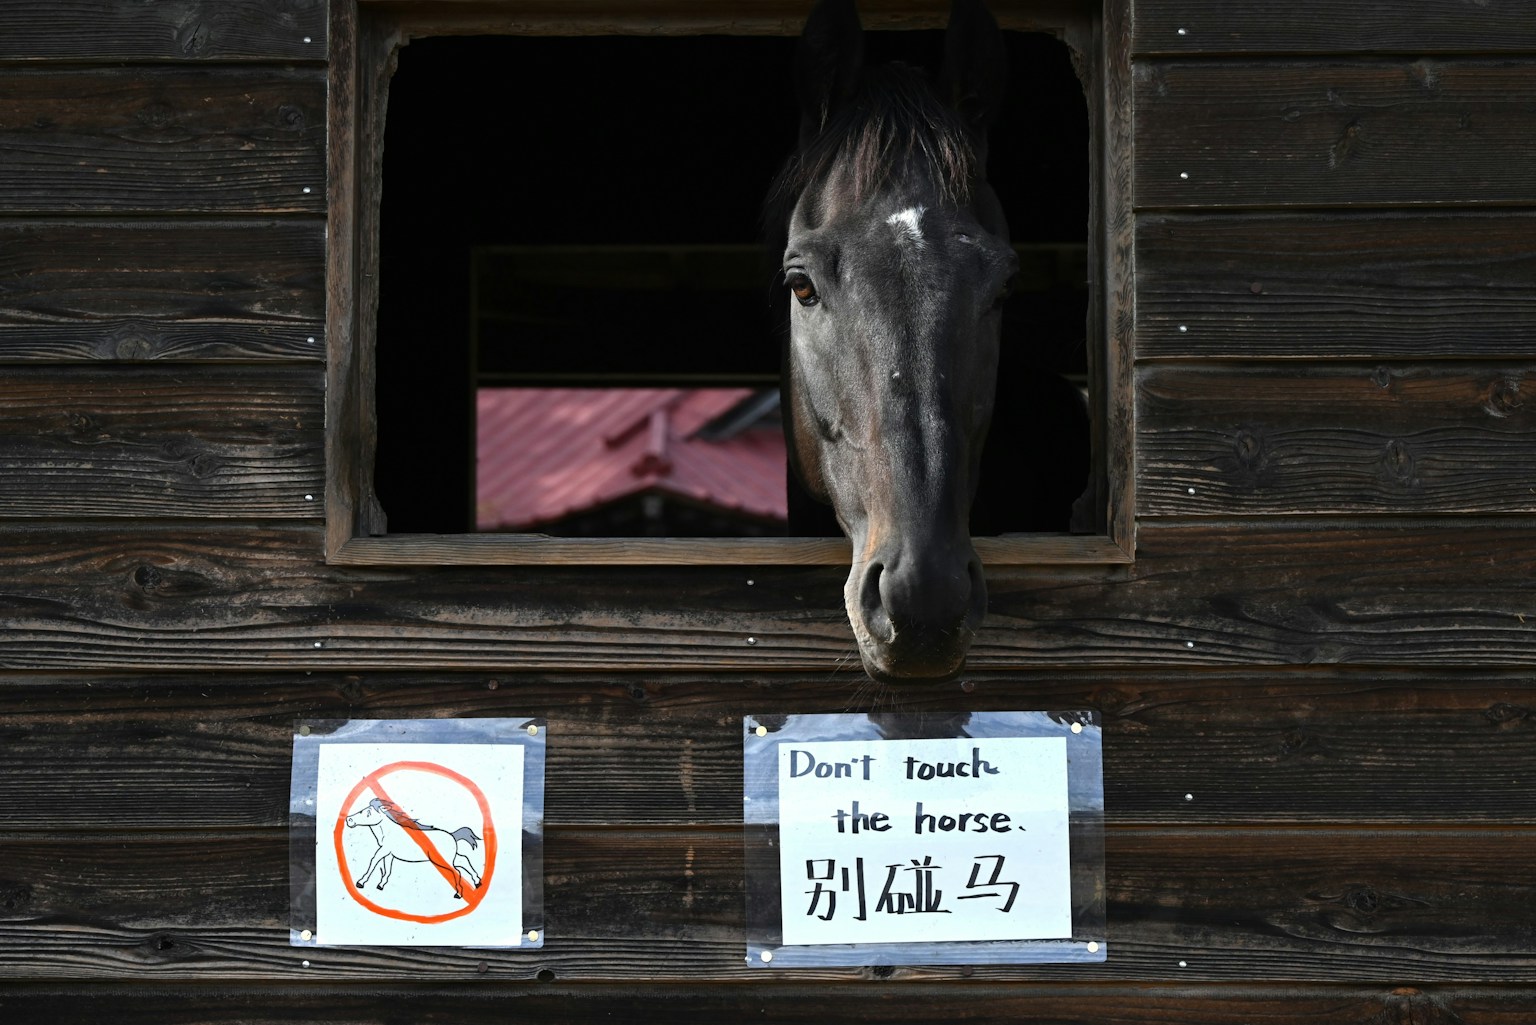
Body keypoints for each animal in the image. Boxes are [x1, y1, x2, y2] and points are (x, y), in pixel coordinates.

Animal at [344, 797, 484, 900]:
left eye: (368, 813)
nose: (349, 820)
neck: (388, 832)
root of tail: (452, 835)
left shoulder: (384, 850)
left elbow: (373, 861)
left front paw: (360, 882)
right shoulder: (389, 854)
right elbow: (387, 869)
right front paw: (381, 885)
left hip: (443, 860)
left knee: (457, 871)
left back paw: (458, 894)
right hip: (450, 858)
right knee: (463, 860)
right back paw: (477, 882)